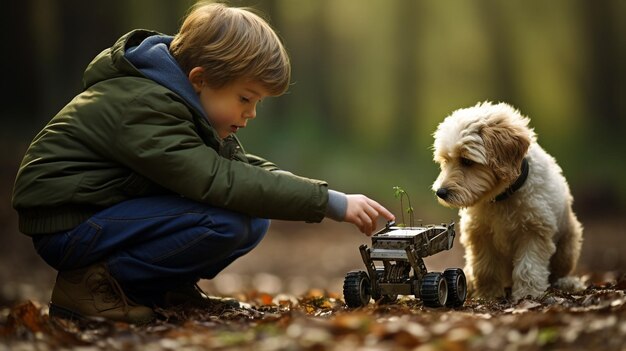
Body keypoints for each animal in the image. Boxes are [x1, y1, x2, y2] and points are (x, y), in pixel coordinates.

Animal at [432, 100, 584, 302]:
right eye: (445, 161)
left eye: (466, 161)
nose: (440, 192)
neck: (502, 197)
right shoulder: (480, 233)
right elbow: (485, 268)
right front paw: (487, 294)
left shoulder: (535, 230)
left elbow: (528, 267)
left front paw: (527, 293)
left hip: (568, 244)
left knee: (558, 273)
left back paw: (568, 282)